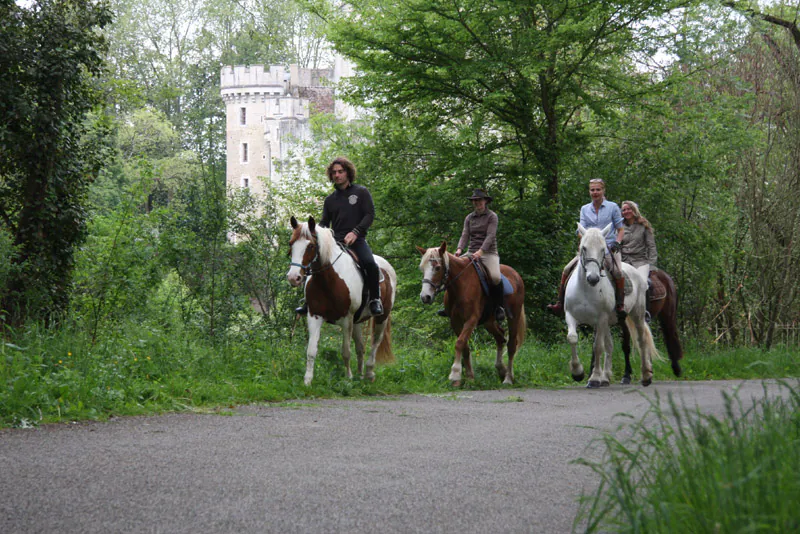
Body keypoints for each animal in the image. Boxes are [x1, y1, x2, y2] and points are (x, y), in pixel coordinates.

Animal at [290, 216, 398, 388]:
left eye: (311, 246)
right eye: (291, 243)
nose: (293, 277)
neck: (328, 280)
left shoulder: (347, 319)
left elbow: (345, 351)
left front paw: (348, 378)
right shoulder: (314, 316)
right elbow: (311, 350)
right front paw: (307, 380)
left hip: (382, 317)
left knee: (375, 343)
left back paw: (369, 373)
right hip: (357, 321)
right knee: (360, 347)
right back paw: (360, 375)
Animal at [416, 244, 528, 390]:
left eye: (438, 267)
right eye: (422, 268)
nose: (425, 297)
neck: (460, 285)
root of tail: (516, 275)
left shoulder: (471, 320)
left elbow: (459, 343)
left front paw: (455, 375)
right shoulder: (455, 321)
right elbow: (465, 347)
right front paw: (469, 378)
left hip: (513, 317)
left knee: (511, 345)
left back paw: (508, 378)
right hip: (489, 321)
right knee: (500, 337)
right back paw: (501, 369)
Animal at [564, 224, 656, 388]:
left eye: (603, 249)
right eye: (584, 248)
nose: (593, 278)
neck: (586, 288)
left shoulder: (601, 319)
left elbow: (597, 347)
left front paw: (594, 378)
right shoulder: (570, 315)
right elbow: (573, 338)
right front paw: (577, 372)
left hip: (636, 314)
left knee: (641, 340)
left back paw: (646, 375)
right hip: (609, 322)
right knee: (610, 345)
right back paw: (606, 377)